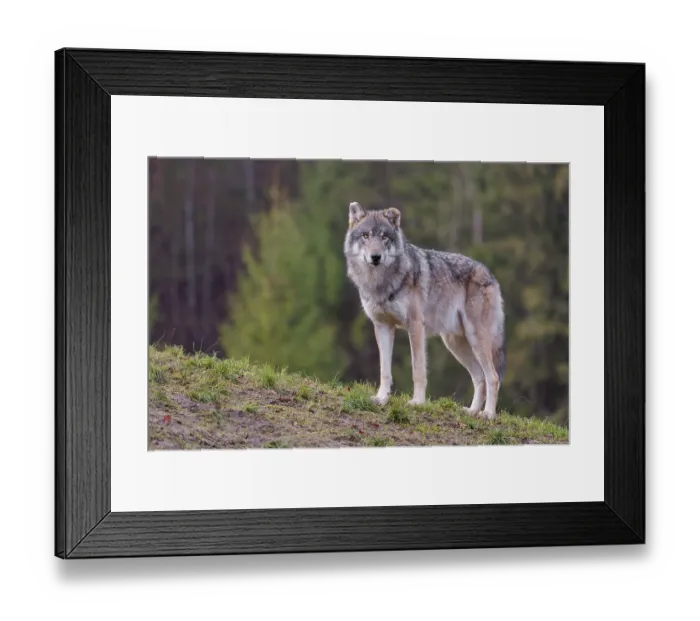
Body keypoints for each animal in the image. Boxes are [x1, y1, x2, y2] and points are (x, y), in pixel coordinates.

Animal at [344, 202, 506, 420]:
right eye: (366, 235)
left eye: (384, 236)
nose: (375, 257)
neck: (380, 282)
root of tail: (489, 274)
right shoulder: (383, 326)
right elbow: (384, 370)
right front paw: (381, 398)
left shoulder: (415, 326)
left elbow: (418, 369)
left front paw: (418, 402)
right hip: (455, 344)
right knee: (479, 377)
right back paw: (472, 411)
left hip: (476, 340)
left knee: (493, 377)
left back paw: (487, 414)